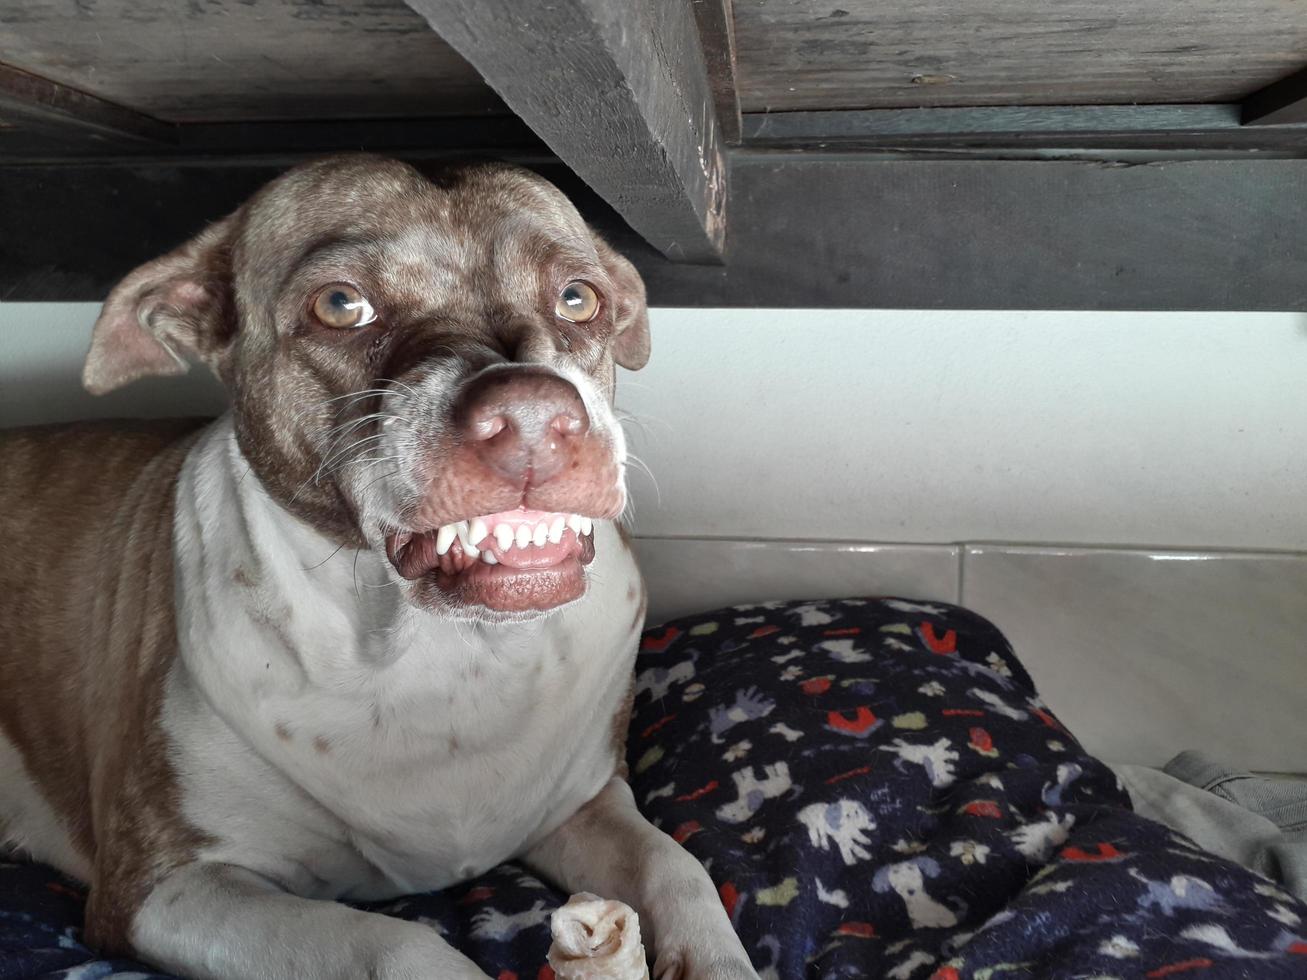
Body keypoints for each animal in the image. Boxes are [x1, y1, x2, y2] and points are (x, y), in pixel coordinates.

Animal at [0, 157, 763, 977]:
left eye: (578, 297)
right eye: (341, 305)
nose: (534, 418)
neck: (439, 654)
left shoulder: (584, 806)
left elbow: (675, 867)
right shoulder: (165, 887)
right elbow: (398, 942)